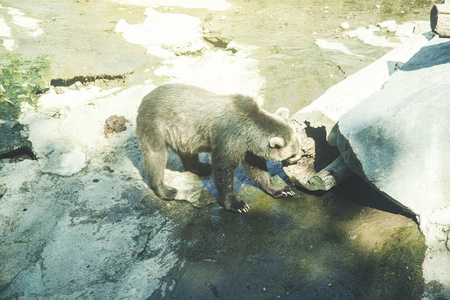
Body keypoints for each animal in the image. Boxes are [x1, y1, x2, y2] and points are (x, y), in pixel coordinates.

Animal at [135, 84, 300, 213]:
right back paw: (166, 190)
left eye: (298, 148)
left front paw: (282, 189)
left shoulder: (246, 147)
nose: (297, 160)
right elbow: (223, 169)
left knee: (188, 152)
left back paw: (202, 167)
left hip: (183, 134)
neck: (249, 131)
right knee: (155, 156)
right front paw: (238, 204)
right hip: (156, 125)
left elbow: (256, 168)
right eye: (293, 153)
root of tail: (145, 97)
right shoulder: (229, 138)